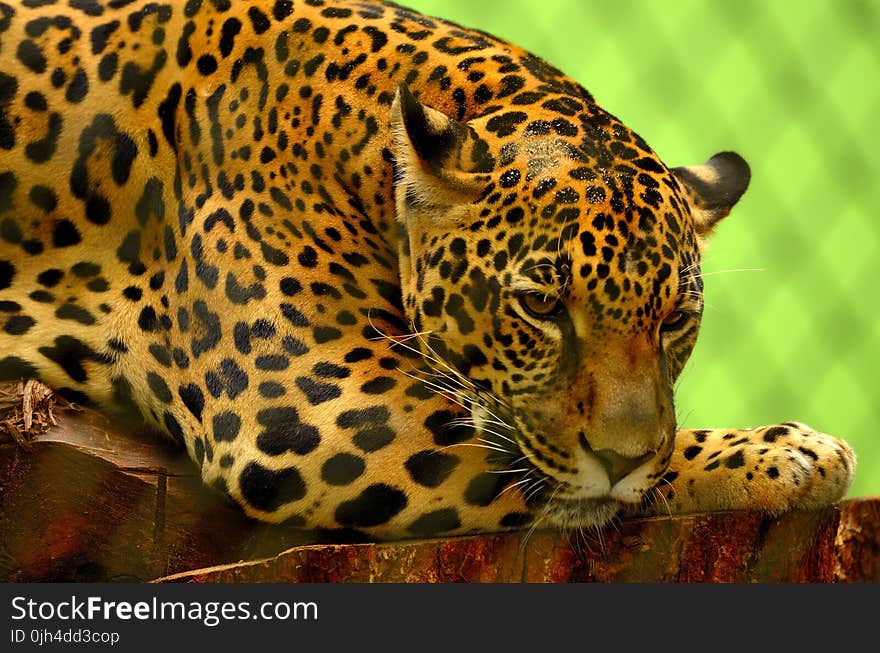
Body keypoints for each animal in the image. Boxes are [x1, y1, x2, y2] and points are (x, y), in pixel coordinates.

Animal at [0, 0, 852, 540]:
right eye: (542, 304)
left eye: (675, 318)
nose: (621, 456)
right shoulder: (309, 407)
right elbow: (561, 476)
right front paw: (779, 452)